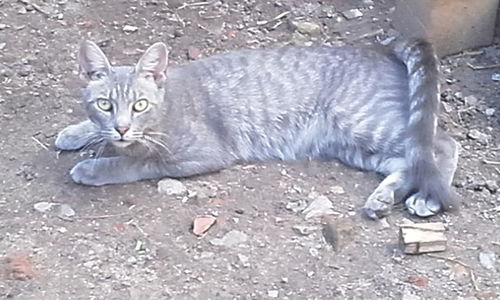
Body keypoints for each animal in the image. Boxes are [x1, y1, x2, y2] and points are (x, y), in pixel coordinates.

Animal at [55, 39, 460, 218]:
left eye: (140, 105)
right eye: (105, 105)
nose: (122, 128)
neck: (167, 104)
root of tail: (382, 53)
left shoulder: (199, 153)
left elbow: (137, 162)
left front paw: (95, 167)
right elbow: (99, 133)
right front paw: (77, 131)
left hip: (365, 122)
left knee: (440, 145)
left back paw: (428, 197)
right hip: (353, 144)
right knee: (405, 163)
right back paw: (384, 197)